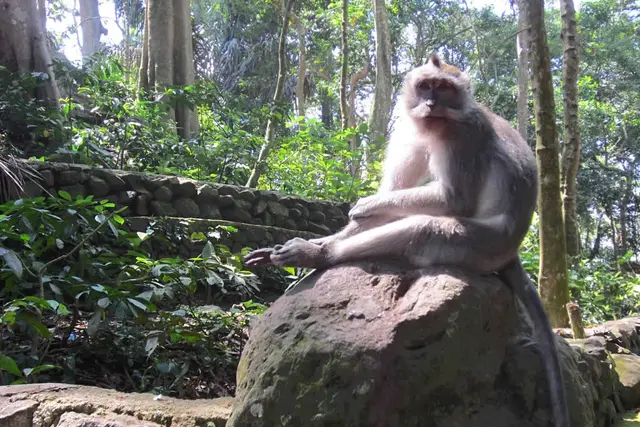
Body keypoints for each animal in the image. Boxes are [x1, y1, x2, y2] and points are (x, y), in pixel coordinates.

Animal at [243, 54, 570, 427]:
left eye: (444, 88)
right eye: (426, 86)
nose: (430, 104)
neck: (439, 125)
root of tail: (511, 251)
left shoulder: (464, 136)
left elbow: (453, 200)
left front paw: (363, 206)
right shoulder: (409, 130)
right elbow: (394, 193)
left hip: (479, 247)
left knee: (422, 228)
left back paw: (320, 255)